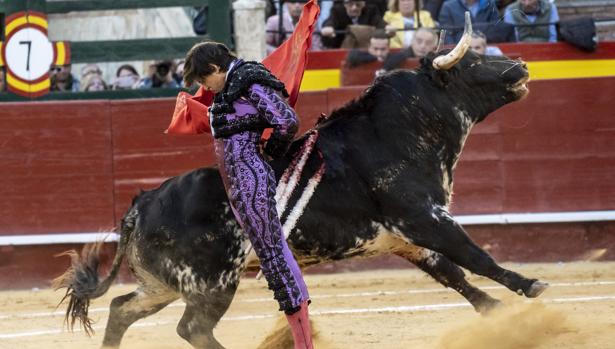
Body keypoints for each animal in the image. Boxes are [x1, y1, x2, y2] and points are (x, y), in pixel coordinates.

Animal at [56, 49, 548, 348]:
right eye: (472, 62)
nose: (521, 66)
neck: (396, 132)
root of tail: (140, 204)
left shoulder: (403, 237)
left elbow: (453, 273)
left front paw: (496, 311)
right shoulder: (425, 218)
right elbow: (474, 255)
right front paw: (529, 287)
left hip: (163, 284)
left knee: (122, 310)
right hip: (212, 283)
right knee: (191, 327)